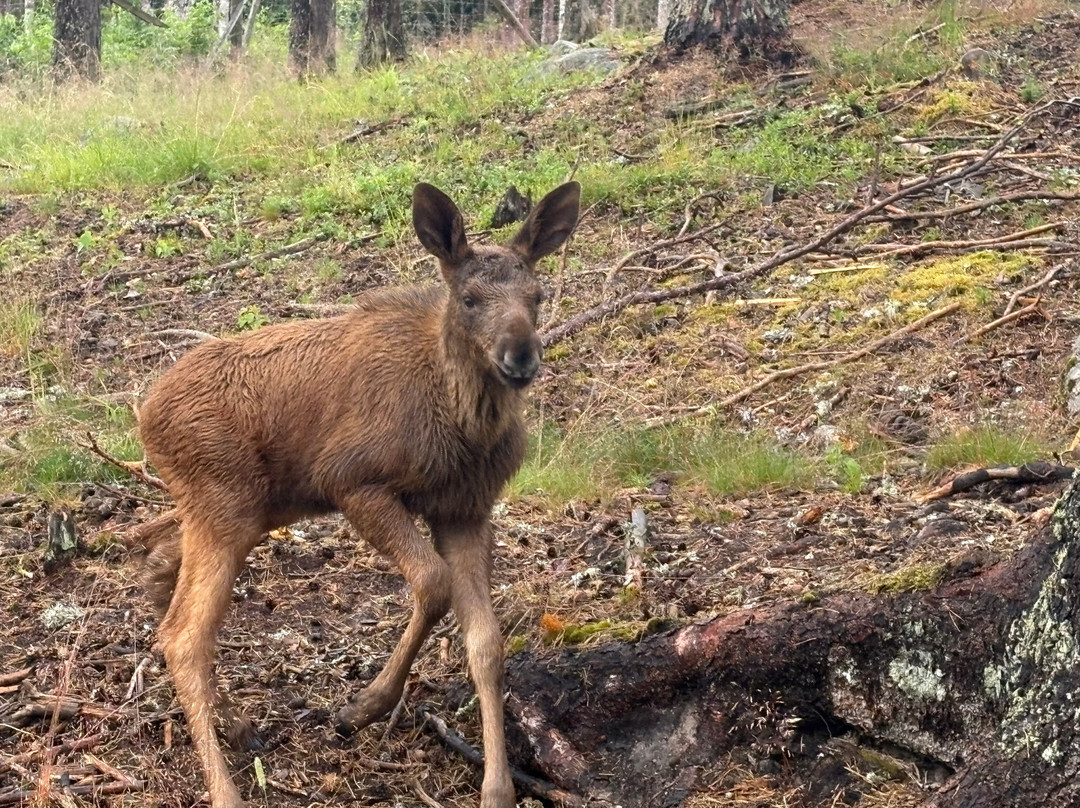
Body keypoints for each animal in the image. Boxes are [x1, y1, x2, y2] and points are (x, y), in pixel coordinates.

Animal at [133, 180, 581, 808]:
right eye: (468, 298)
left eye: (537, 296)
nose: (520, 355)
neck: (462, 417)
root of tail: (144, 416)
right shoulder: (353, 482)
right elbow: (433, 583)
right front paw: (364, 705)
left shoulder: (464, 510)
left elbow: (487, 644)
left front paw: (497, 789)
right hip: (226, 509)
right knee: (183, 635)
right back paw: (226, 788)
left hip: (240, 512)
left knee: (157, 569)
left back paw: (238, 723)